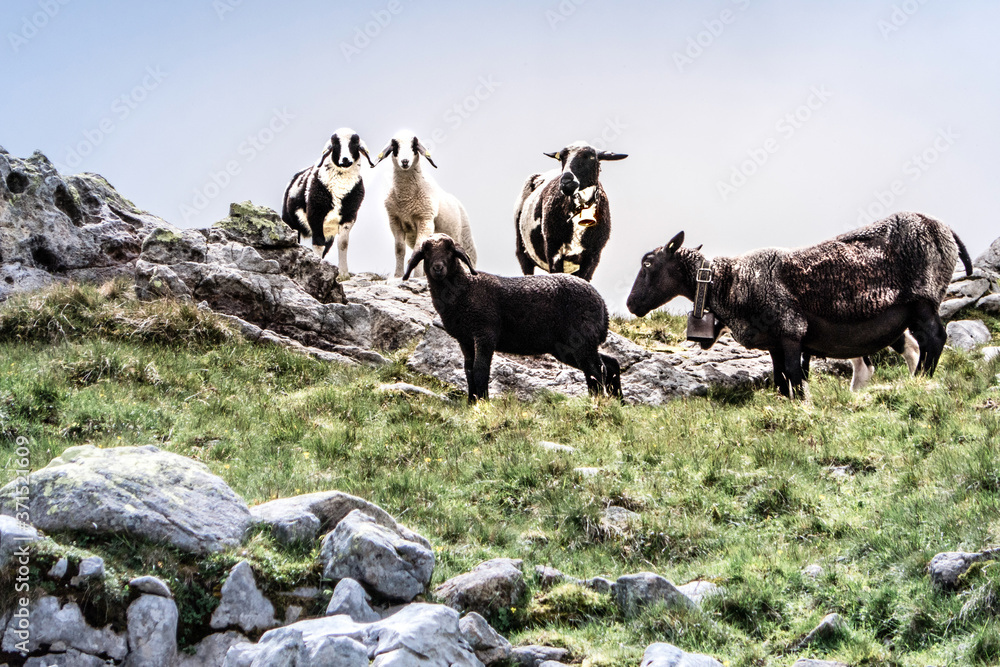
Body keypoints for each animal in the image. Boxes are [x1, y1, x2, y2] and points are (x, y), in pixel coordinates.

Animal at [282, 128, 376, 276]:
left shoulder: (349, 216)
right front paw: (317, 267)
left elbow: (343, 244)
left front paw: (343, 274)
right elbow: (318, 244)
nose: (345, 159)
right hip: (291, 223)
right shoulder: (315, 214)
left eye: (354, 143)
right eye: (335, 144)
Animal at [376, 132, 476, 278]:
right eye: (395, 145)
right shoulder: (394, 220)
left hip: (465, 238)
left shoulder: (425, 220)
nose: (405, 161)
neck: (406, 199)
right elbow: (399, 249)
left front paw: (416, 276)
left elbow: (418, 249)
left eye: (414, 145)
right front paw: (398, 275)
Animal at [402, 234, 620, 402]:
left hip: (582, 339)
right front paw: (472, 402)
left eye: (450, 252)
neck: (465, 289)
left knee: (598, 370)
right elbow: (468, 371)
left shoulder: (485, 333)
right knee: (608, 364)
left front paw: (483, 402)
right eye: (426, 253)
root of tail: (602, 304)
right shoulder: (465, 339)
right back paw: (615, 401)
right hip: (570, 347)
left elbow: (480, 370)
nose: (438, 268)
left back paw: (600, 401)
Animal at [516, 143, 624, 282]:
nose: (566, 182)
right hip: (522, 250)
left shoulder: (594, 255)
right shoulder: (553, 249)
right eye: (561, 158)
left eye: (590, 157)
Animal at [628, 214, 972, 400]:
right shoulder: (774, 341)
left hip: (923, 298)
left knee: (934, 339)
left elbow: (794, 374)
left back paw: (922, 380)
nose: (631, 304)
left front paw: (804, 404)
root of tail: (946, 230)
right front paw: (787, 403)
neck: (727, 281)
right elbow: (780, 378)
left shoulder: (791, 329)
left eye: (648, 263)